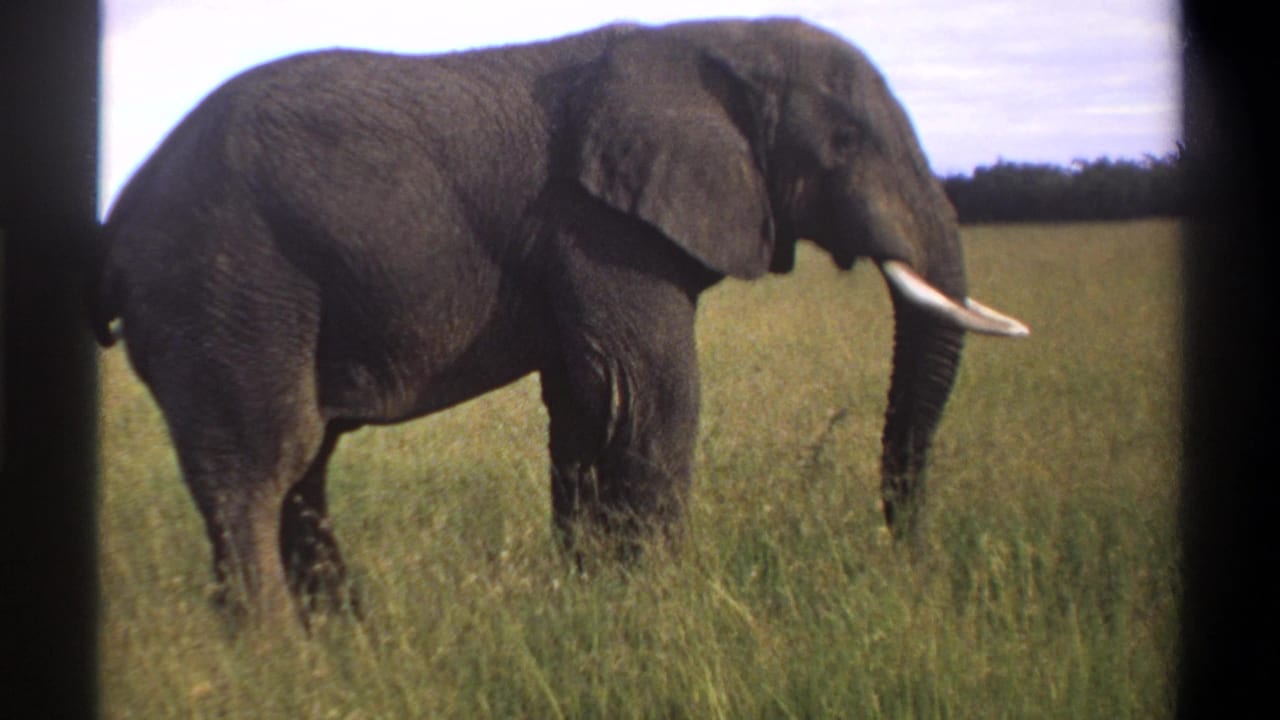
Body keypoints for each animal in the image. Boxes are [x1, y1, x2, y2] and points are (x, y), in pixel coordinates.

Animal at [89, 18, 1027, 626]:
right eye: (843, 142)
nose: (907, 562)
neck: (711, 41)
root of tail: (119, 219)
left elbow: (586, 407)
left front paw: (594, 604)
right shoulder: (598, 223)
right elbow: (649, 397)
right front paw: (663, 614)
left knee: (301, 472)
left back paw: (345, 644)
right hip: (227, 288)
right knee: (258, 465)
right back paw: (281, 657)